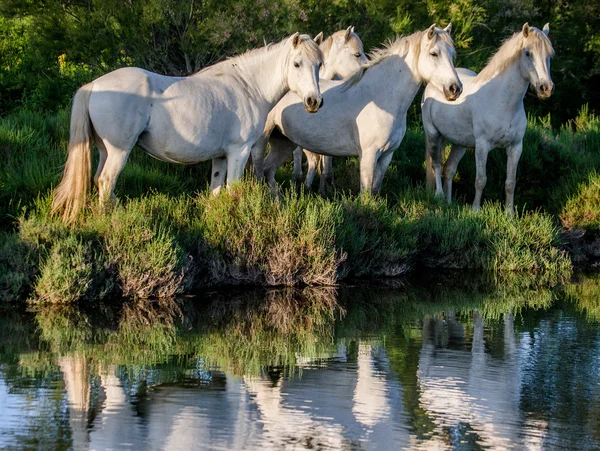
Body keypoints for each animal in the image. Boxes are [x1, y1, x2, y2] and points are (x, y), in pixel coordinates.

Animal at [51, 32, 324, 223]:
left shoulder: (220, 156)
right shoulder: (239, 151)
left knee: (99, 180)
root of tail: (95, 85)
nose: (314, 102)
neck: (248, 87)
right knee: (107, 181)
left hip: (105, 150)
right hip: (119, 151)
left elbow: (216, 190)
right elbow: (233, 190)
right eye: (297, 64)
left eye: (319, 65)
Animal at [422, 23, 552, 215]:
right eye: (528, 53)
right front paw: (475, 210)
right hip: (433, 135)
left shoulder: (515, 147)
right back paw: (439, 197)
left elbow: (510, 183)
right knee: (437, 165)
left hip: (460, 143)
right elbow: (481, 180)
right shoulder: (482, 146)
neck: (502, 102)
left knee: (450, 168)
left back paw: (449, 202)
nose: (545, 88)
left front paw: (509, 214)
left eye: (549, 55)